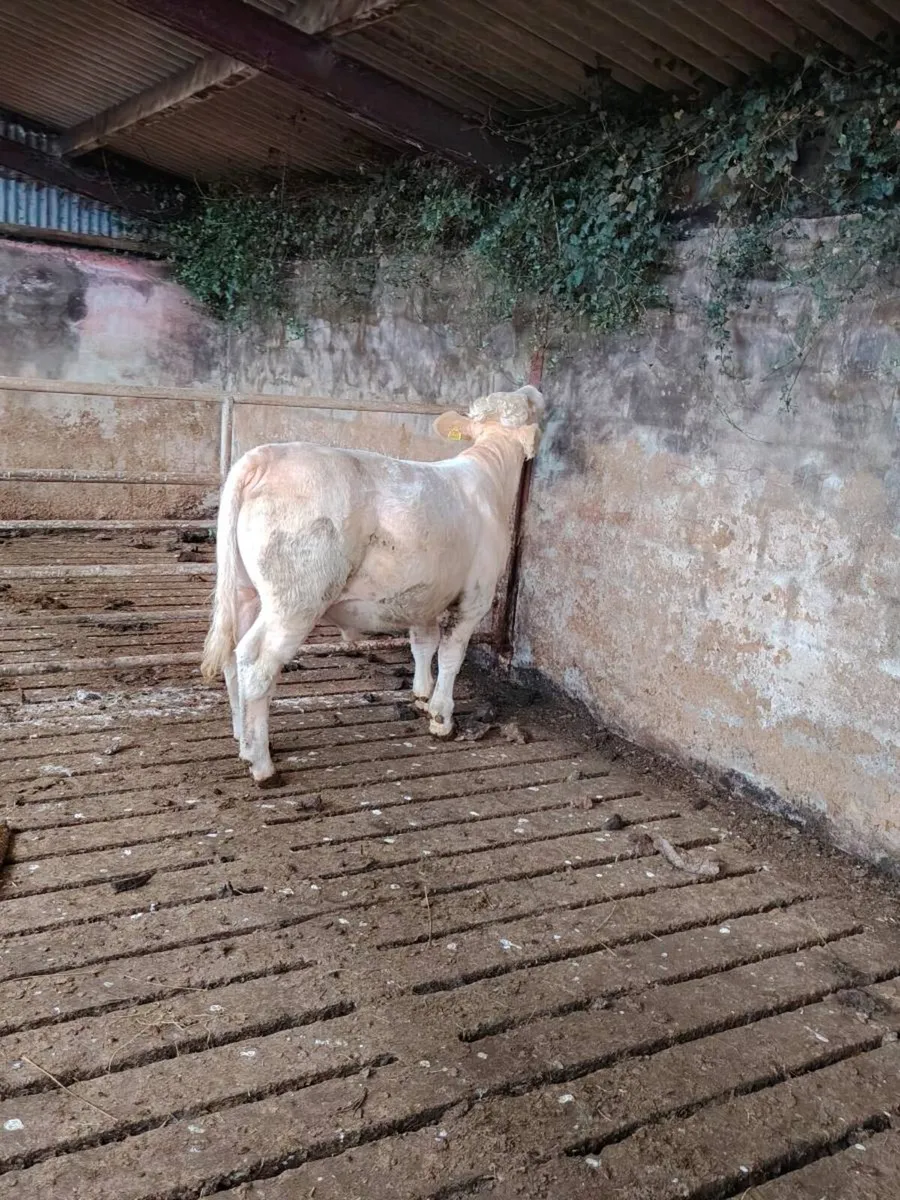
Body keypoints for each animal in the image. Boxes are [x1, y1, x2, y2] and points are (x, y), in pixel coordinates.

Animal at [201, 384, 544, 785]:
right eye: (530, 406)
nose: (533, 388)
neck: (490, 474)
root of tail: (263, 457)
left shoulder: (423, 593)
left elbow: (423, 644)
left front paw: (421, 695)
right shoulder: (476, 595)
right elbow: (451, 656)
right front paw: (441, 718)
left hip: (245, 591)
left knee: (232, 657)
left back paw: (243, 740)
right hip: (296, 599)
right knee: (256, 666)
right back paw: (261, 764)